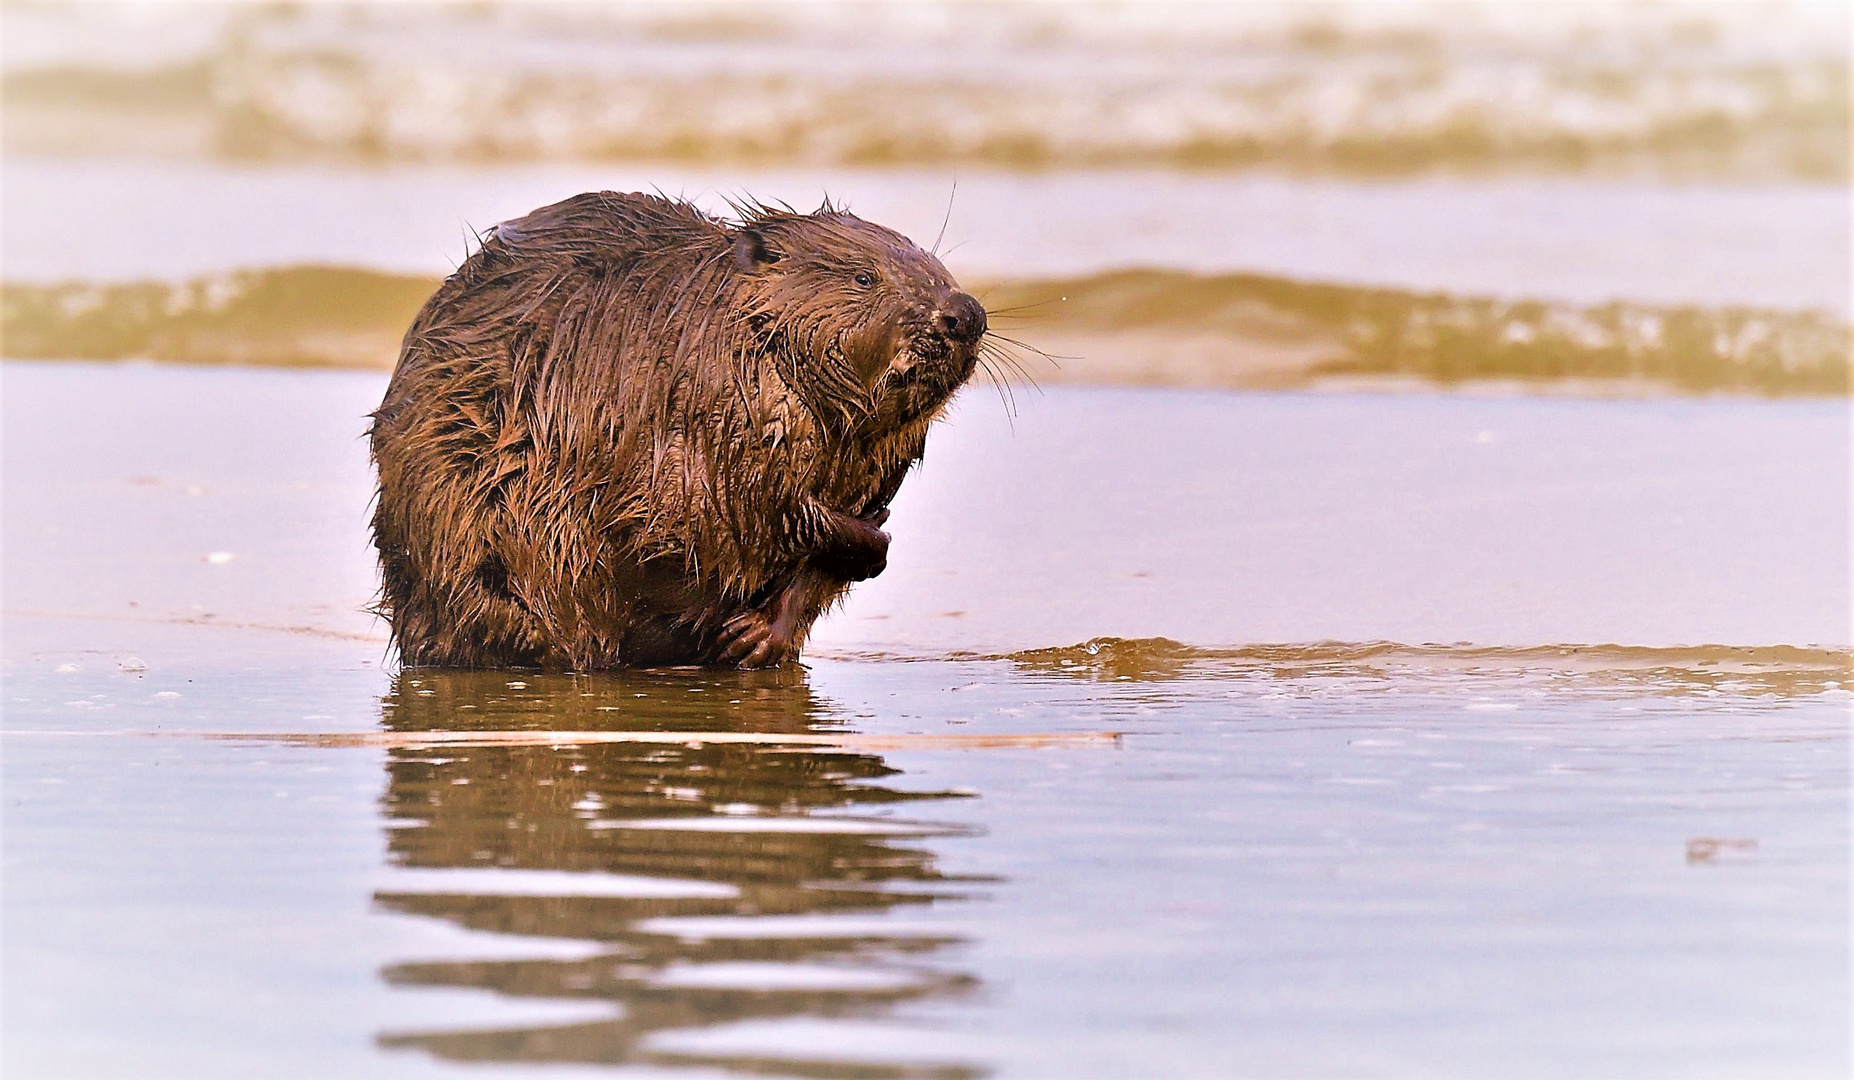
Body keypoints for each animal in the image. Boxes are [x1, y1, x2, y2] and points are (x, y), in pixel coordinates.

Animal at [367, 192, 993, 666]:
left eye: (940, 273)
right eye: (864, 276)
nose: (965, 314)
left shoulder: (883, 460)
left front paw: (756, 637)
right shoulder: (693, 397)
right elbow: (710, 506)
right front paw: (865, 537)